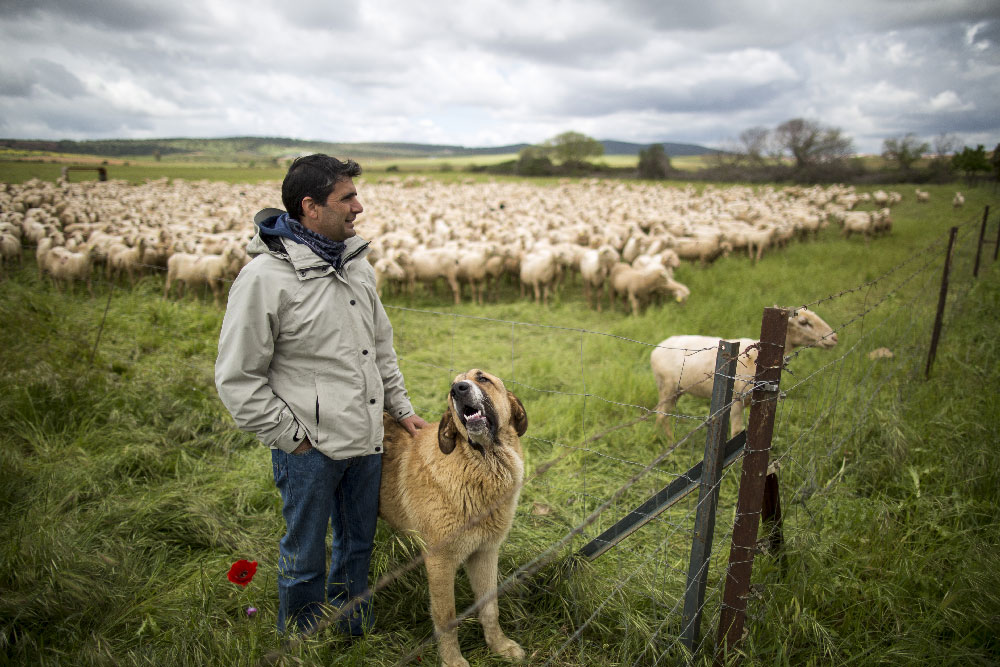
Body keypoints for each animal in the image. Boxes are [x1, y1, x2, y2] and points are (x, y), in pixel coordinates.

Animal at [376, 370, 532, 667]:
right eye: (452, 389)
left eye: (482, 378)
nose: (458, 389)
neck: (482, 462)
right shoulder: (440, 562)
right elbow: (447, 618)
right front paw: (452, 660)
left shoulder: (485, 552)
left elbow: (490, 607)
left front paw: (499, 646)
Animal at [652, 310, 840, 444]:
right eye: (804, 322)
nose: (835, 338)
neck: (758, 356)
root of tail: (657, 348)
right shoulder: (736, 400)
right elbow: (736, 432)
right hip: (667, 386)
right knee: (661, 414)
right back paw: (668, 443)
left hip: (678, 389)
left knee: (663, 414)